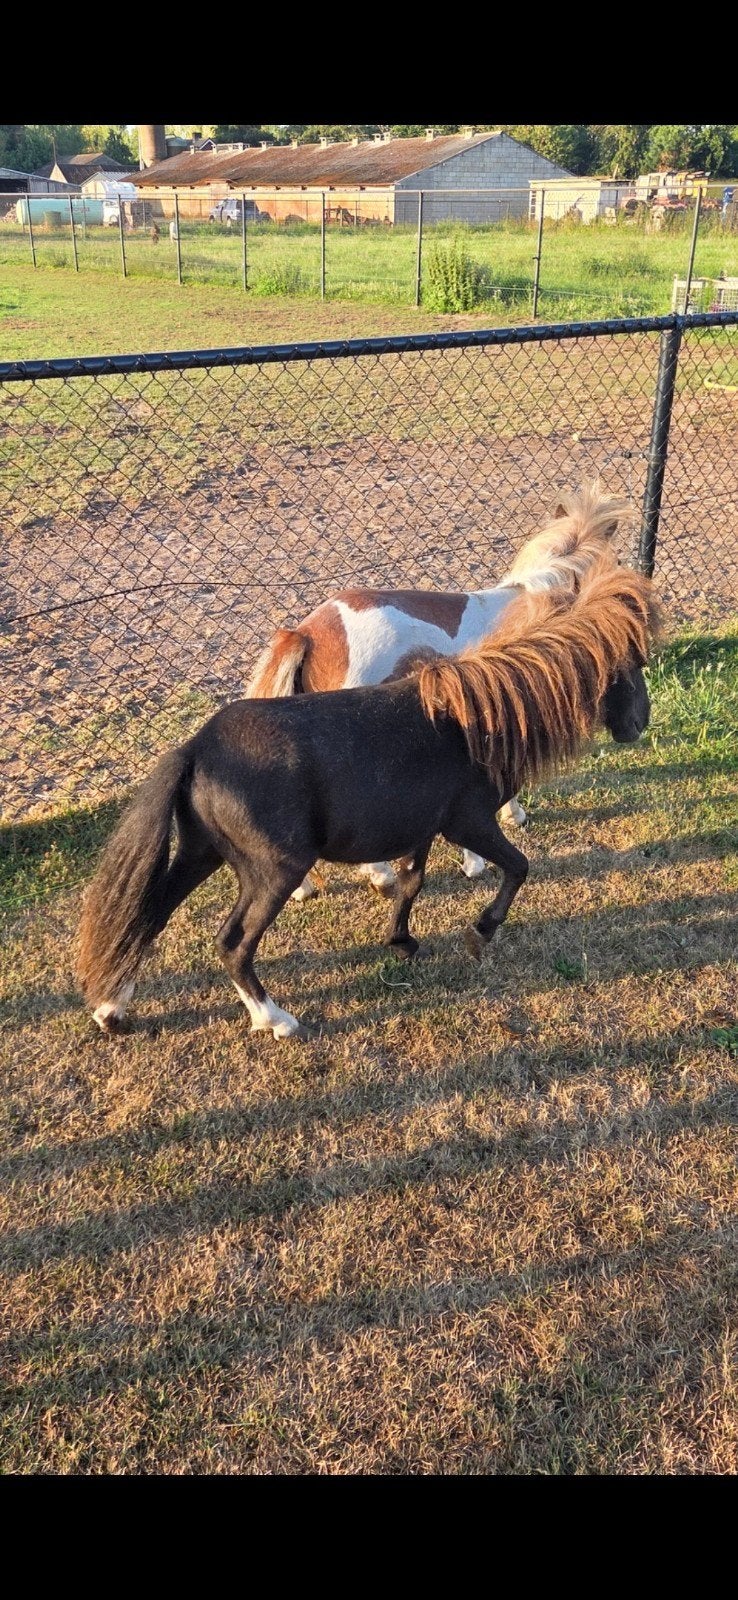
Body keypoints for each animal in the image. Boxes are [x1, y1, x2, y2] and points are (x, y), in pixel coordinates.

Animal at [77, 560, 658, 1042]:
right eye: (631, 664)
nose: (638, 725)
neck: (474, 718)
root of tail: (197, 749)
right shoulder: (469, 823)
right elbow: (517, 866)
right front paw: (480, 931)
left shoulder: (421, 828)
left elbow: (411, 883)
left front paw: (402, 941)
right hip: (273, 872)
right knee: (231, 944)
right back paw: (275, 1019)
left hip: (201, 854)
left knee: (147, 917)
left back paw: (112, 1009)